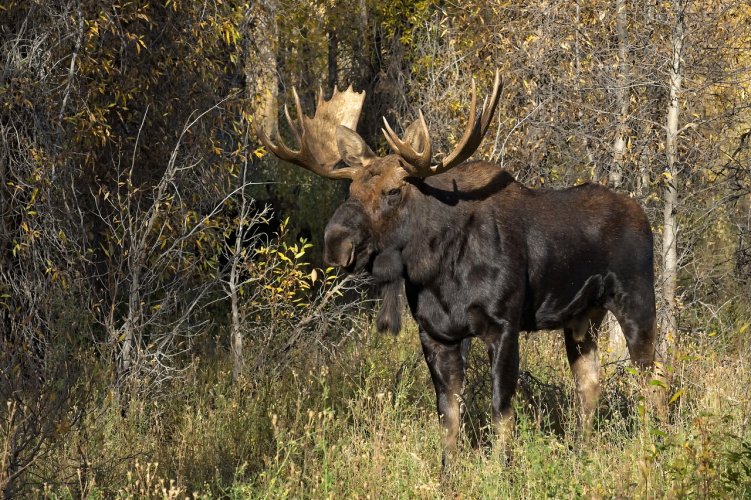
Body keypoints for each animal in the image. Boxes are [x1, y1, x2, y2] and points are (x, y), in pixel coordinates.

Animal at [256, 72, 660, 466]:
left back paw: (650, 450)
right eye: (351, 188)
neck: (437, 273)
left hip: (637, 301)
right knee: (589, 384)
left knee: (650, 378)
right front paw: (447, 473)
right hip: (581, 318)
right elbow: (448, 416)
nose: (336, 242)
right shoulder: (436, 333)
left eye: (392, 192)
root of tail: (644, 217)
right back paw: (582, 453)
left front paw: (501, 471)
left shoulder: (504, 325)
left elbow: (501, 410)